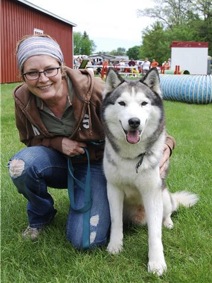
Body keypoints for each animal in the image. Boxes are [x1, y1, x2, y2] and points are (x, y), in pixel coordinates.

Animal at [101, 68, 199, 278]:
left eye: (144, 103)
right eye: (122, 103)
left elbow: (155, 233)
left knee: (168, 211)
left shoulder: (152, 193)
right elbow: (115, 220)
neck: (132, 156)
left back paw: (168, 222)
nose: (134, 122)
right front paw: (115, 245)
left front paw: (156, 263)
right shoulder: (113, 189)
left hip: (164, 196)